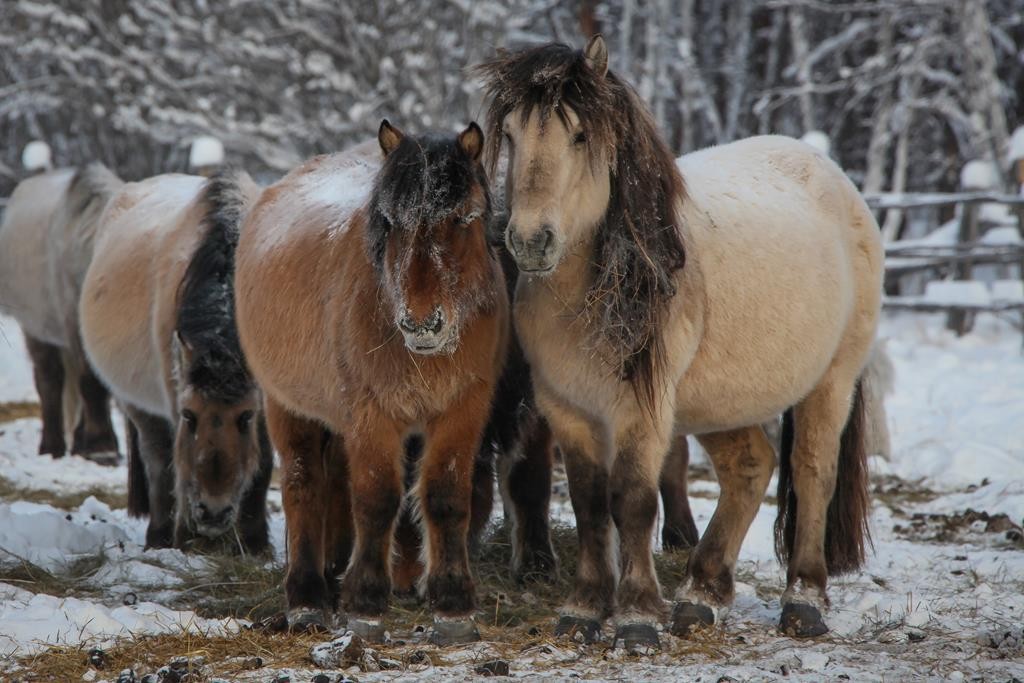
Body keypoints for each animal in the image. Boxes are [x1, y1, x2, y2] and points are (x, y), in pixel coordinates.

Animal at [0, 165, 122, 464]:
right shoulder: (76, 327)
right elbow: (91, 383)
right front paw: (102, 446)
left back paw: (78, 441)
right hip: (36, 330)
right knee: (50, 381)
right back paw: (52, 445)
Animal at [78, 172, 272, 557]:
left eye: (245, 417)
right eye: (189, 416)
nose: (212, 512)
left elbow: (266, 462)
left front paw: (256, 544)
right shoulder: (173, 397)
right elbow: (177, 466)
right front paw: (186, 541)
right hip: (137, 405)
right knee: (158, 460)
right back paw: (161, 534)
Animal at [233, 120, 503, 643]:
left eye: (464, 218)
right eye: (390, 222)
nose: (423, 323)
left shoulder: (463, 409)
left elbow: (445, 498)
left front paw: (453, 607)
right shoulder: (371, 415)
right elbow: (377, 500)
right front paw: (365, 606)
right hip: (287, 406)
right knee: (303, 485)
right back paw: (308, 599)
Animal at [475, 36, 884, 647]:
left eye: (580, 134)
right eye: (510, 135)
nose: (530, 241)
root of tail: (832, 174)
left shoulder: (642, 411)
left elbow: (632, 501)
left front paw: (638, 617)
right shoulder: (567, 407)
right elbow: (590, 502)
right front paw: (584, 608)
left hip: (831, 381)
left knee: (813, 472)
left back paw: (803, 602)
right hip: (723, 399)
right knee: (749, 469)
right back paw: (701, 594)